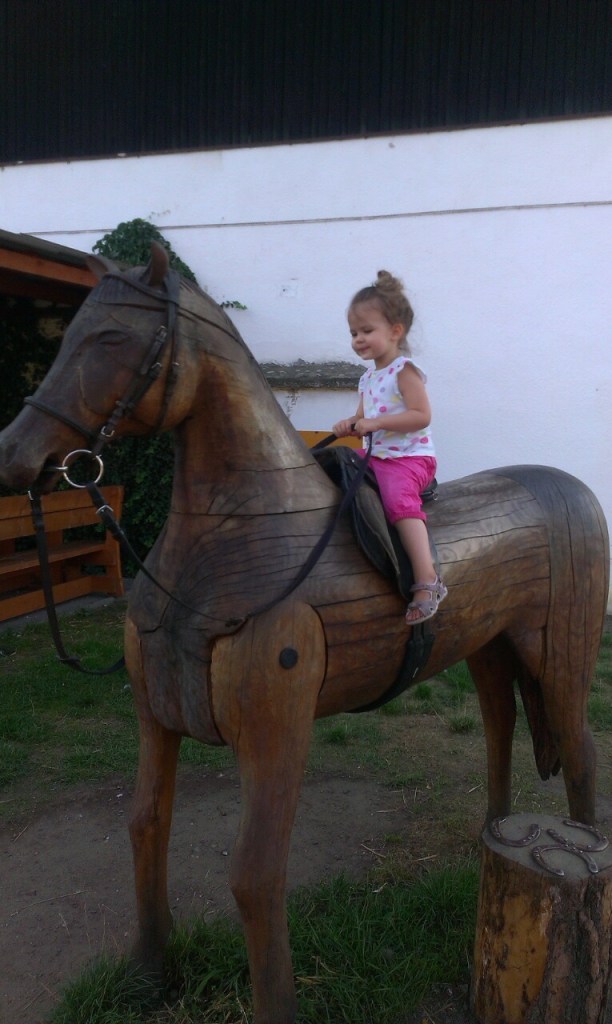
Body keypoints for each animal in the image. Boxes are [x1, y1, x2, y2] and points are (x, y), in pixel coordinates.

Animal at [0, 243, 608, 1024]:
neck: (235, 538)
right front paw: (150, 972)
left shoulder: (276, 727)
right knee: (501, 726)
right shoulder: (155, 717)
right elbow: (145, 824)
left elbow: (255, 877)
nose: (15, 454)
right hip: (488, 647)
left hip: (559, 651)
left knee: (581, 752)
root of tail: (576, 490)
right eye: (70, 333)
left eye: (108, 339)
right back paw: (490, 837)